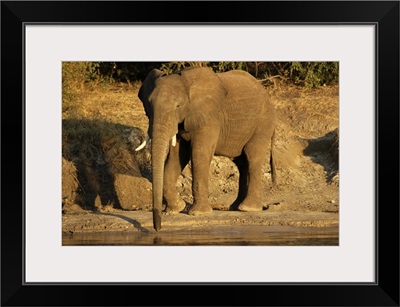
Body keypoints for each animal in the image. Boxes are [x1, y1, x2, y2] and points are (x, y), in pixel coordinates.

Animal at [136, 67, 276, 231]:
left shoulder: (210, 117)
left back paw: (248, 208)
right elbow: (177, 157)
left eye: (178, 106)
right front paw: (175, 209)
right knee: (242, 163)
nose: (158, 228)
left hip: (263, 123)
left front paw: (198, 213)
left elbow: (199, 154)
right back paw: (235, 207)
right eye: (149, 106)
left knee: (253, 157)